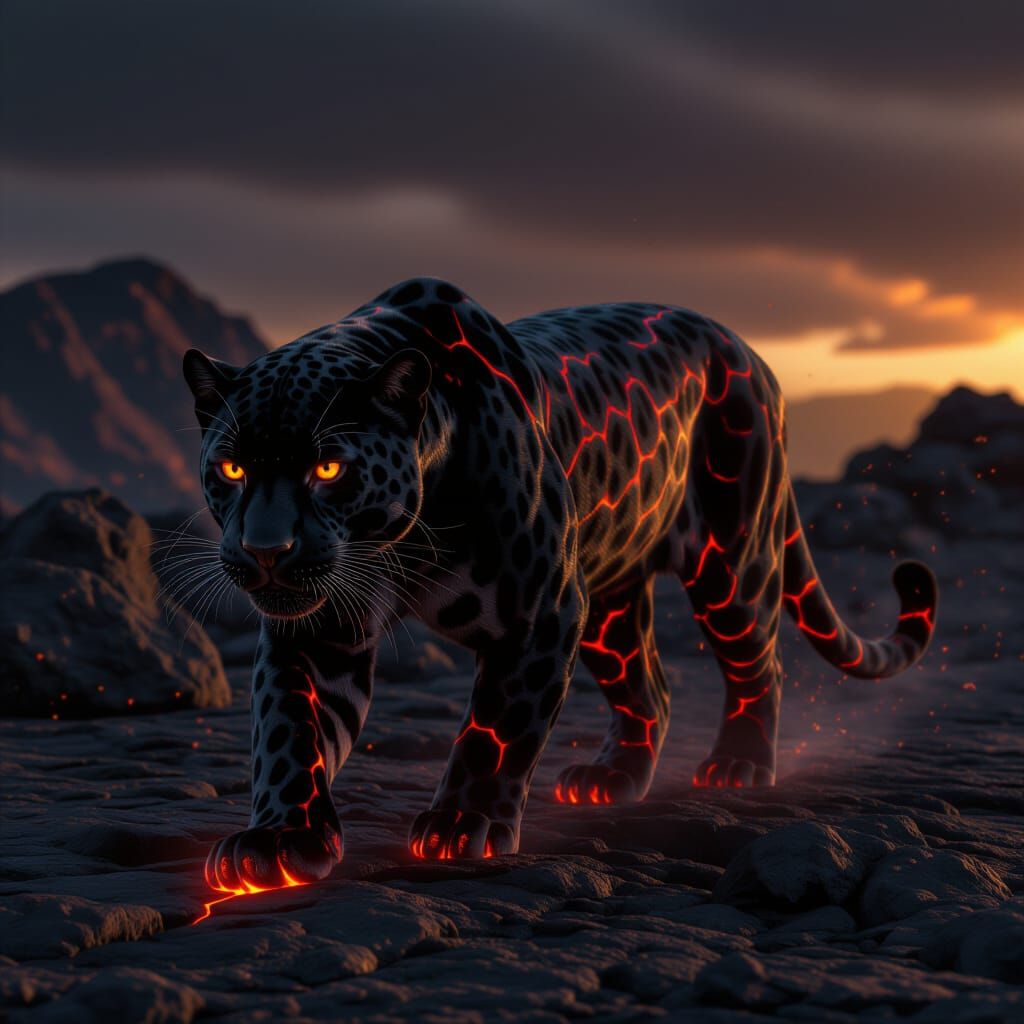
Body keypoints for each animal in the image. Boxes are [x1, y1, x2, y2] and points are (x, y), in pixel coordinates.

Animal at [183, 276, 937, 892]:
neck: (403, 541)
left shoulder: (537, 614)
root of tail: (749, 352)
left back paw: (739, 766)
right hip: (610, 607)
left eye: (328, 469)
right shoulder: (316, 630)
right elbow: (290, 731)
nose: (266, 551)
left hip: (731, 557)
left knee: (759, 663)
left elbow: (495, 729)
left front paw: (462, 826)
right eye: (231, 470)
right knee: (650, 686)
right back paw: (611, 779)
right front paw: (279, 841)